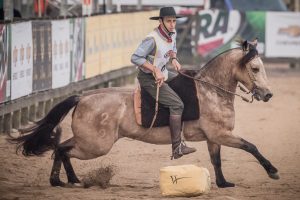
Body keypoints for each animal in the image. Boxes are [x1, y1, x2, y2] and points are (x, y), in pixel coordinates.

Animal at [11, 39, 278, 188]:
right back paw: (58, 180)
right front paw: (272, 171)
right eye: (255, 68)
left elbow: (217, 160)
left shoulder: (214, 138)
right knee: (62, 149)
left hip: (87, 141)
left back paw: (70, 180)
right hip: (94, 146)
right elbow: (251, 147)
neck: (210, 89)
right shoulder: (221, 134)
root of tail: (83, 97)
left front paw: (223, 183)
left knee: (61, 148)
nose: (267, 95)